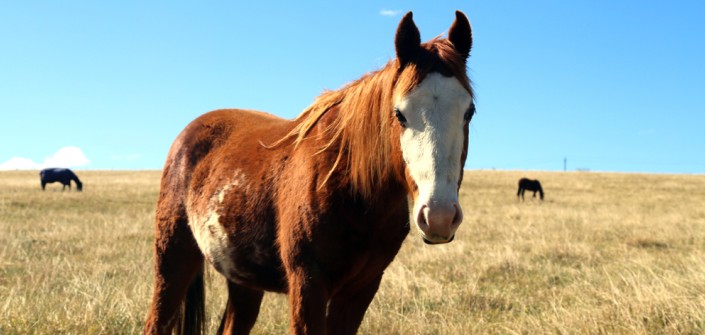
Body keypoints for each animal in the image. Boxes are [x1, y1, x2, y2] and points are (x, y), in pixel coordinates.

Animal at [143, 11, 472, 335]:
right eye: (399, 114)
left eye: (469, 112)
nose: (439, 216)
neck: (350, 186)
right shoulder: (308, 284)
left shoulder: (361, 289)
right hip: (173, 260)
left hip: (243, 279)